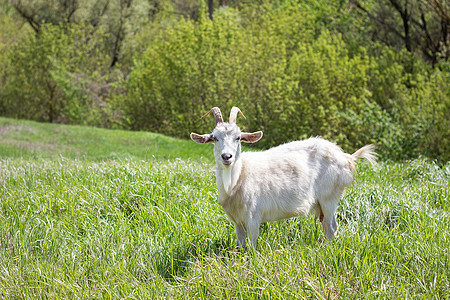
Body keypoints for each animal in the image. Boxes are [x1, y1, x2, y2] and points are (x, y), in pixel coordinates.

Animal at [191, 106, 376, 247]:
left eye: (238, 138)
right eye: (215, 138)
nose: (227, 156)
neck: (238, 177)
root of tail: (346, 157)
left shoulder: (253, 217)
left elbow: (252, 246)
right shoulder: (237, 221)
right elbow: (241, 245)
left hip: (330, 196)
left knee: (331, 227)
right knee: (326, 225)